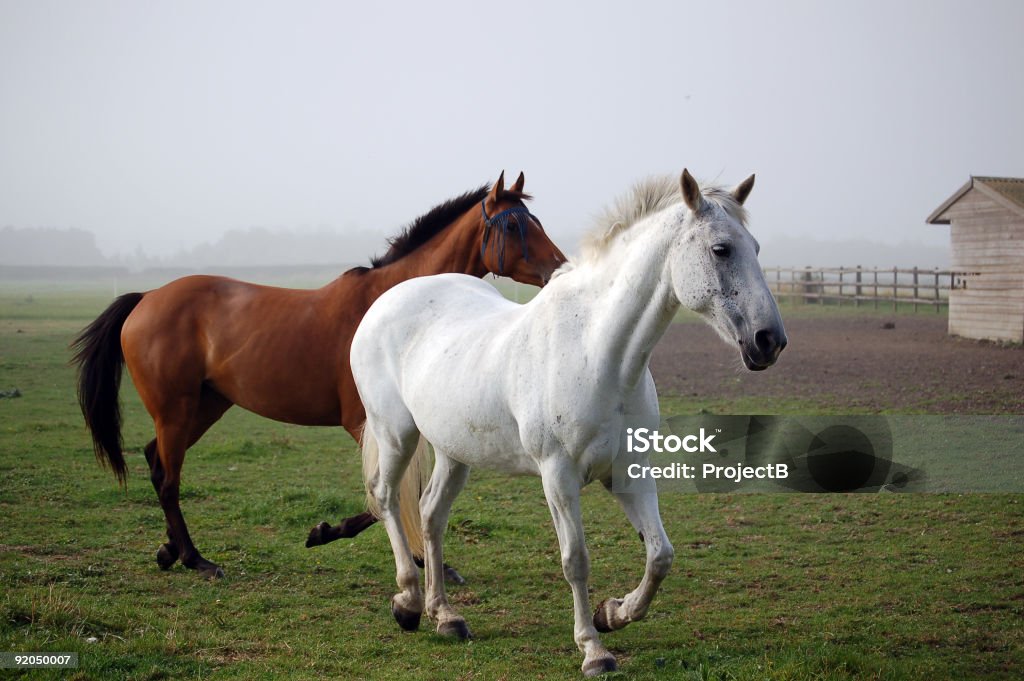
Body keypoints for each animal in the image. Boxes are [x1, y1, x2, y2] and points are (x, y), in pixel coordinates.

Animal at [72, 173, 569, 577]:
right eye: (512, 225)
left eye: (536, 220)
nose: (560, 269)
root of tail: (146, 298)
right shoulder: (368, 423)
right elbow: (385, 494)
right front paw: (330, 533)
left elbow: (403, 492)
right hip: (177, 411)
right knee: (167, 478)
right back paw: (196, 559)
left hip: (204, 407)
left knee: (156, 460)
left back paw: (169, 551)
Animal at [350, 168, 782, 675]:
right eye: (721, 249)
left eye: (756, 247)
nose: (769, 340)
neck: (596, 352)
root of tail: (385, 301)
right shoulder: (557, 476)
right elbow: (576, 559)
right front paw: (593, 650)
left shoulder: (629, 472)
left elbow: (660, 555)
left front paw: (613, 613)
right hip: (396, 434)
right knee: (386, 497)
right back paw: (408, 602)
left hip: (453, 451)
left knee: (431, 513)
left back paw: (446, 616)